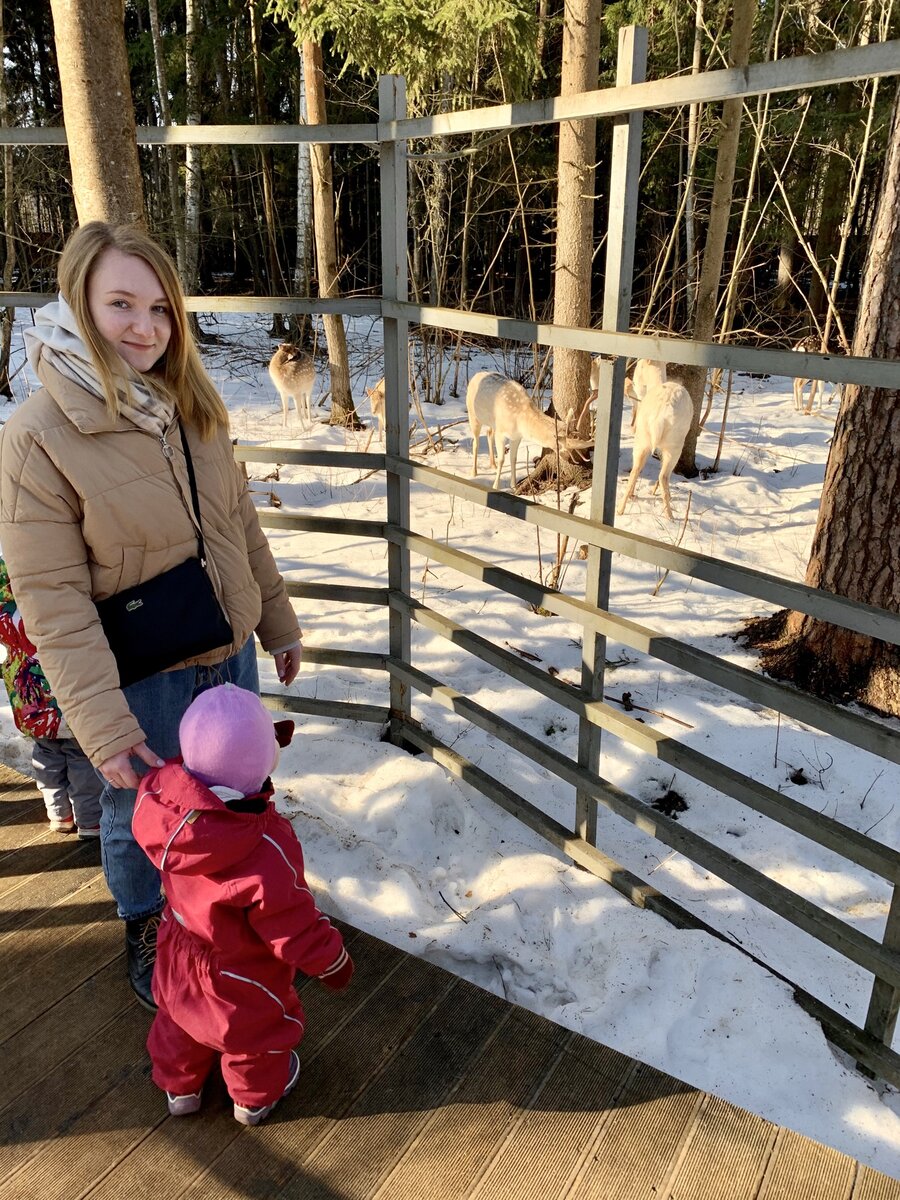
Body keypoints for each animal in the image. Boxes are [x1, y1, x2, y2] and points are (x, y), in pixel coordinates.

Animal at [619, 379, 696, 520]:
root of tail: (659, 418)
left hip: (641, 439)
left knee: (634, 470)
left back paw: (620, 509)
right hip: (675, 446)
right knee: (663, 476)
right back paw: (670, 516)